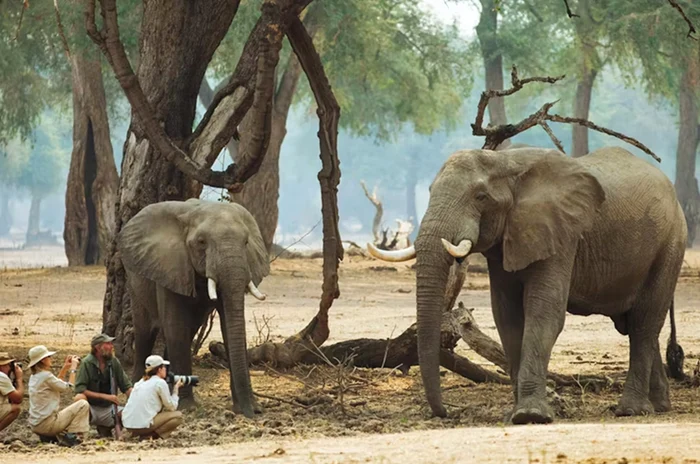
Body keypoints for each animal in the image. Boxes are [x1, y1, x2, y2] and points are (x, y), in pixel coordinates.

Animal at [118, 198, 269, 418]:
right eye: (201, 242)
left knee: (189, 330)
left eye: (246, 243)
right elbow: (175, 326)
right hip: (134, 277)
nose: (253, 413)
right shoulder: (170, 265)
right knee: (146, 332)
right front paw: (188, 407)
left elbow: (229, 326)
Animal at [368, 146, 687, 424]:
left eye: (480, 197)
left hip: (670, 244)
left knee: (645, 321)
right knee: (635, 325)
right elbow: (507, 317)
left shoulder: (561, 233)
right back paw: (659, 405)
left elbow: (544, 313)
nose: (445, 412)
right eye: (430, 191)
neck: (505, 161)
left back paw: (631, 410)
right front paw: (515, 414)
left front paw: (530, 415)